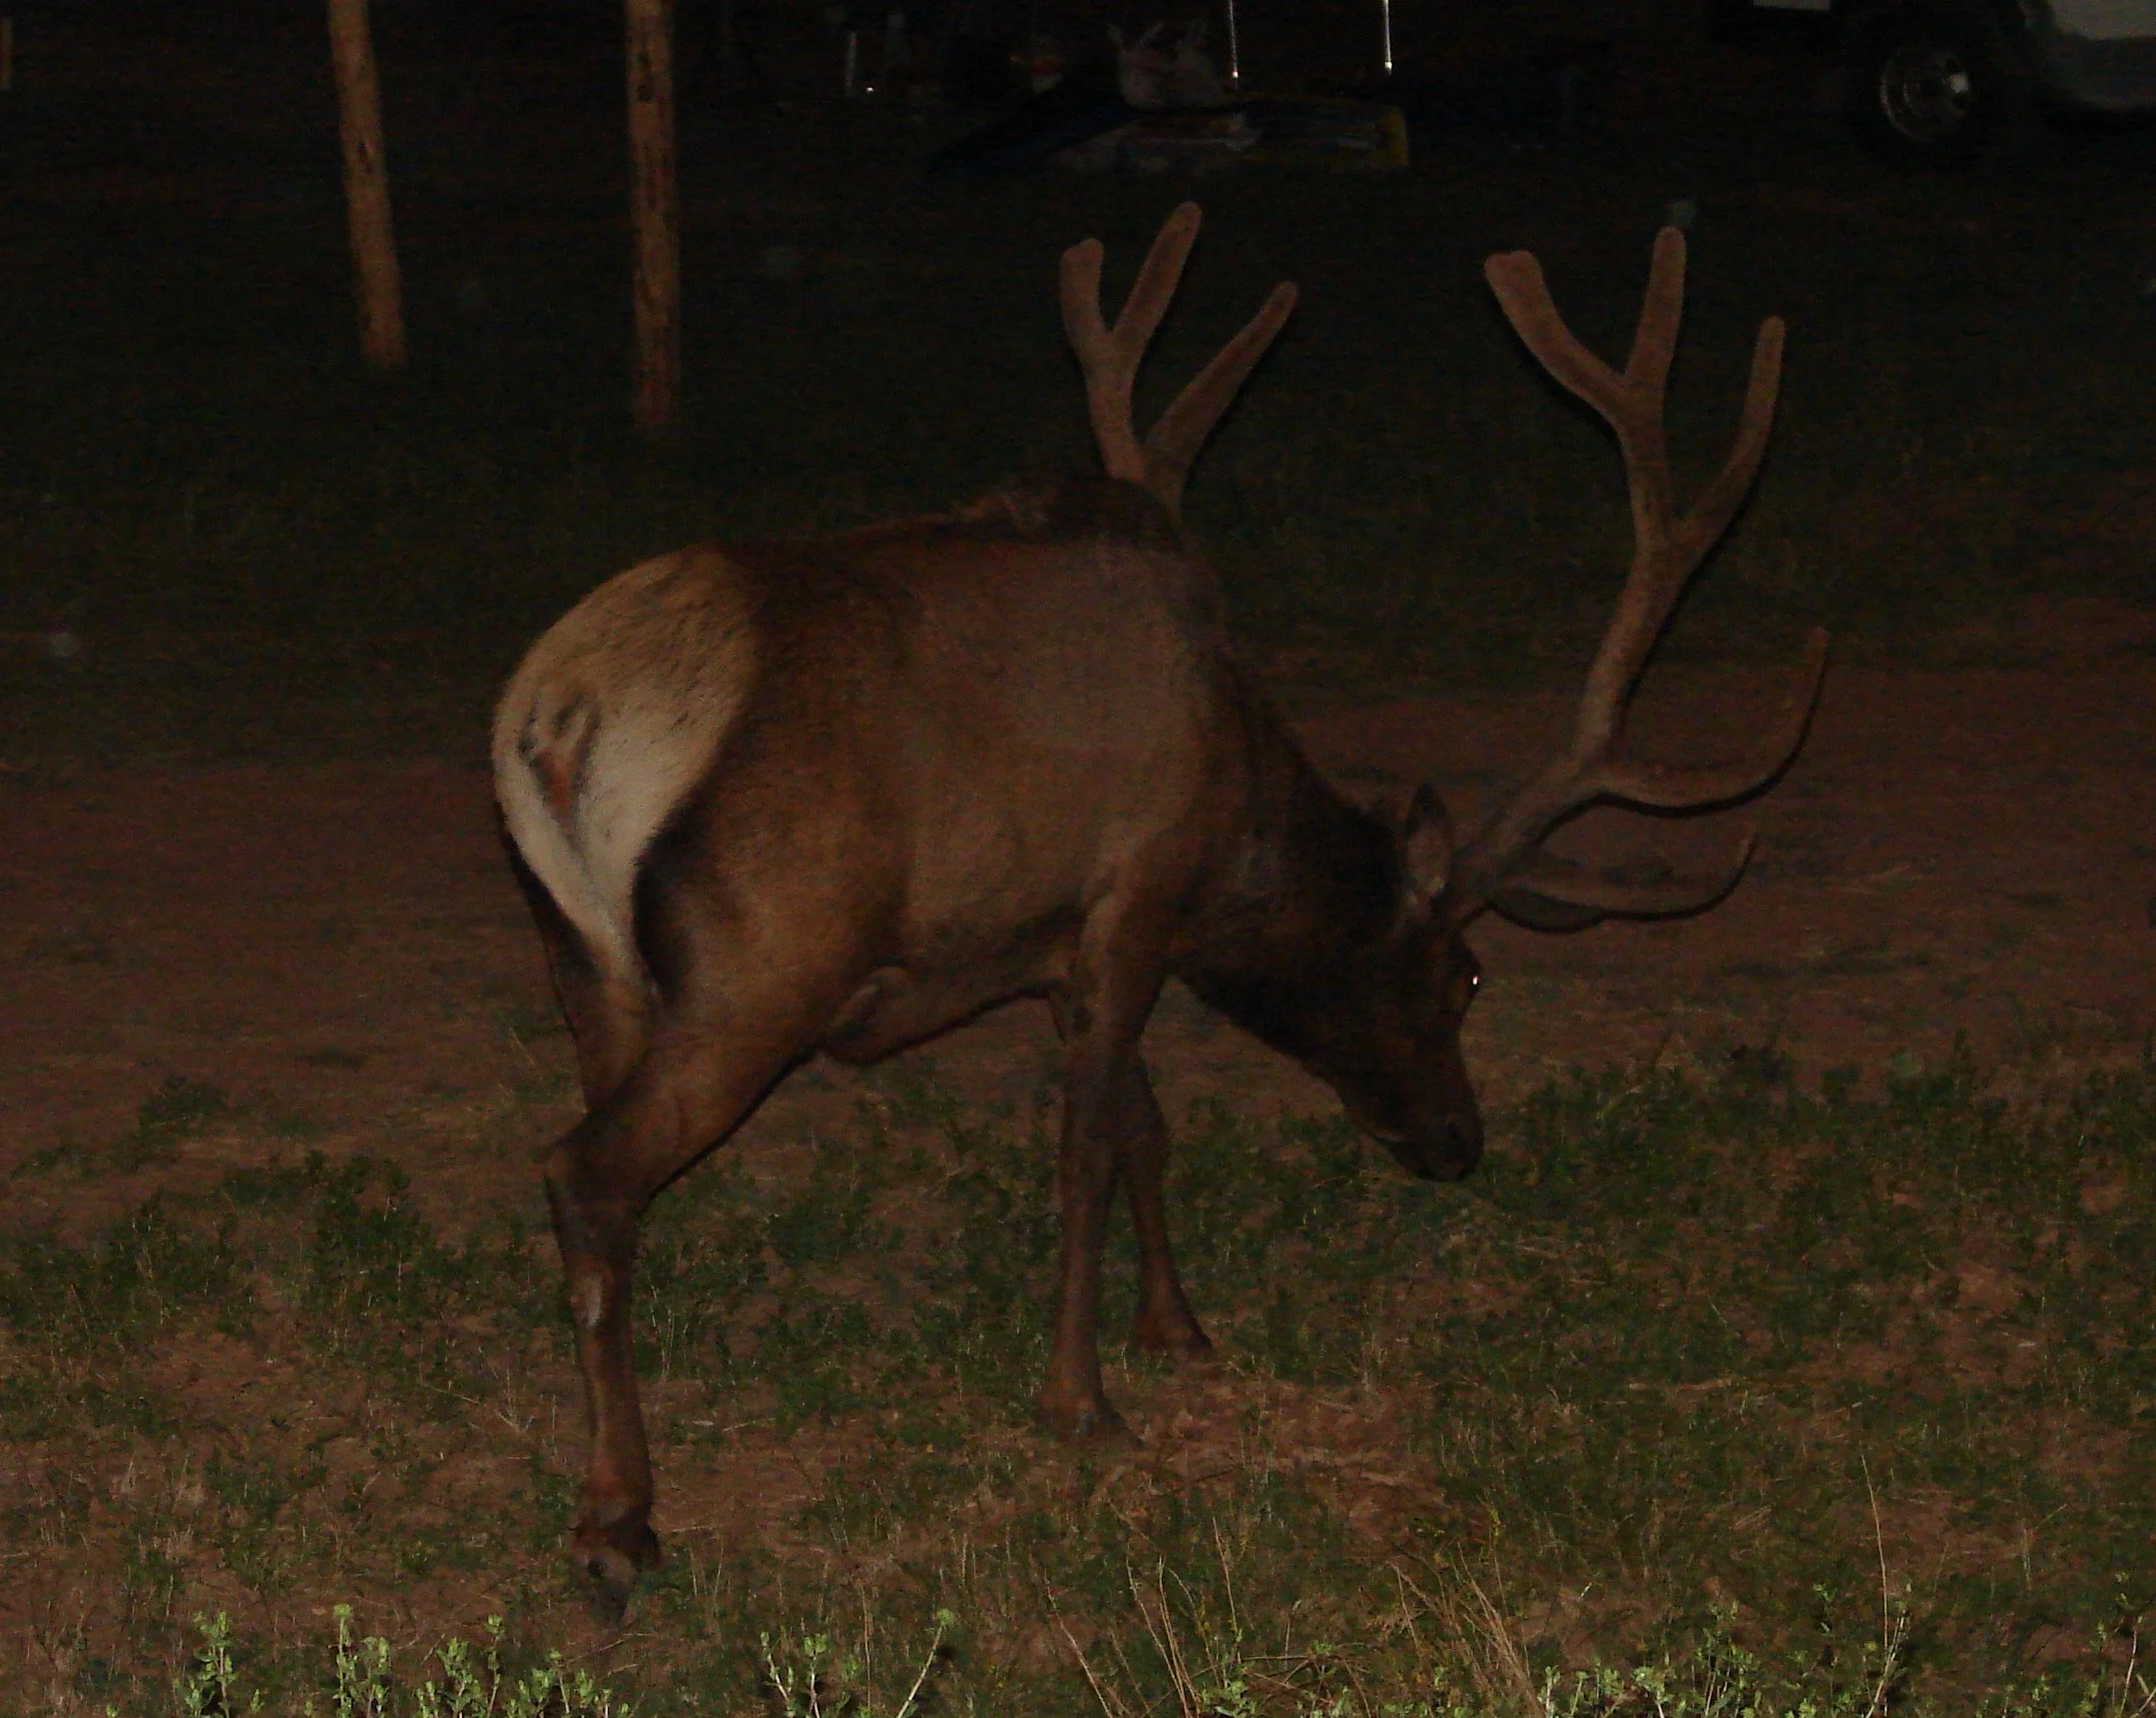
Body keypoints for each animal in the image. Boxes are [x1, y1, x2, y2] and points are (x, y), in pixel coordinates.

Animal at [492, 203, 1827, 1602]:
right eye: (1464, 973)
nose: (1458, 1140)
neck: (1237, 810)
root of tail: (557, 715)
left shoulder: (1053, 936)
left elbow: (1142, 1123)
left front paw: (1179, 1325)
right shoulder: (1140, 891)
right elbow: (1088, 1146)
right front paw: (1084, 1399)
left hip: (587, 961)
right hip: (763, 967)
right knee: (582, 1168)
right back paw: (617, 1515)